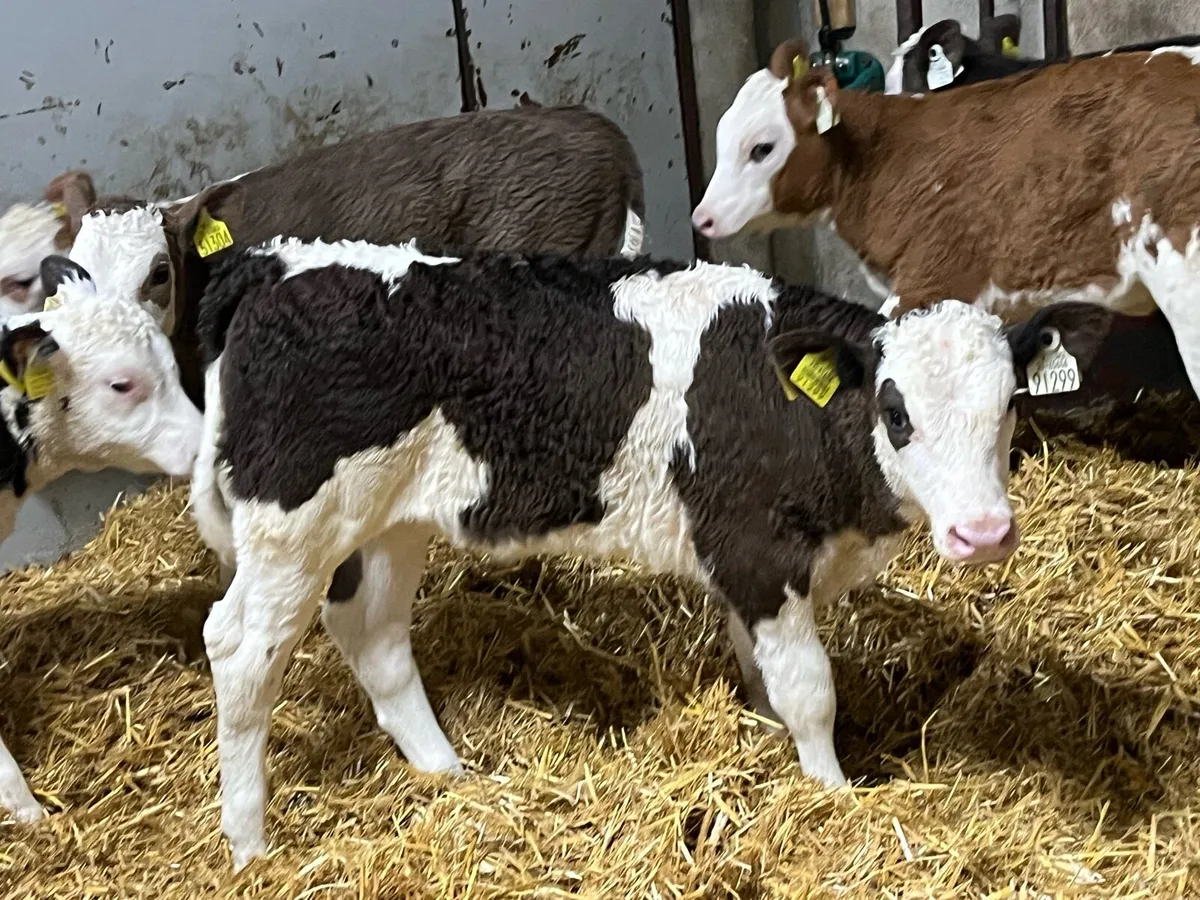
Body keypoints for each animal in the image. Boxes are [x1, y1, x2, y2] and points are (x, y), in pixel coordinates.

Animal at [187, 235, 1112, 868]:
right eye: (896, 411)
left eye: (1009, 404)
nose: (983, 533)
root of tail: (278, 262)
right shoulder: (758, 553)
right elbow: (810, 693)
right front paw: (832, 793)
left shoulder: (742, 566)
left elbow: (762, 680)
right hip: (291, 526)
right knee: (239, 650)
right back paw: (249, 844)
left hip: (387, 522)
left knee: (372, 635)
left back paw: (450, 776)